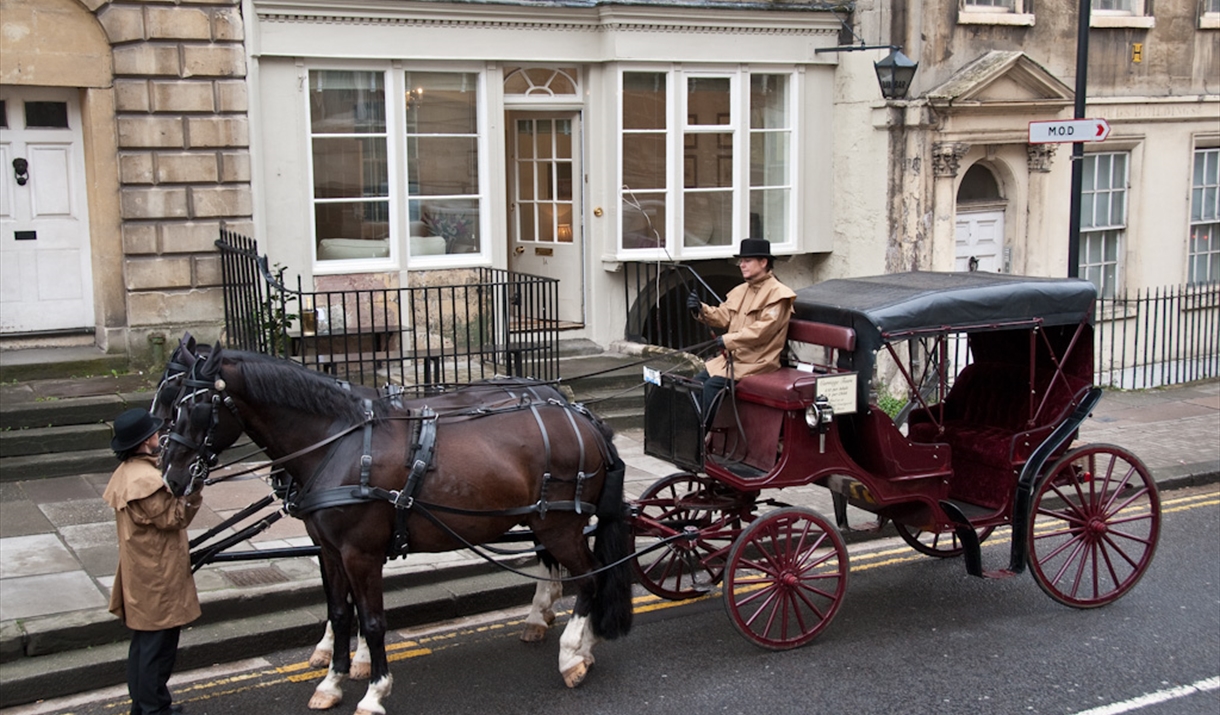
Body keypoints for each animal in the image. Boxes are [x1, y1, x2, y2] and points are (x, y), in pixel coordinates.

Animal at [158, 344, 634, 707]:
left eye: (195, 407)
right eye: (168, 402)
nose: (171, 477)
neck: (338, 443)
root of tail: (583, 418)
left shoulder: (360, 552)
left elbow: (371, 620)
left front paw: (373, 691)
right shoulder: (329, 549)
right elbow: (340, 612)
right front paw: (333, 680)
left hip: (561, 524)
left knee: (591, 578)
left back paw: (572, 654)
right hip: (541, 518)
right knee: (567, 569)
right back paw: (568, 635)